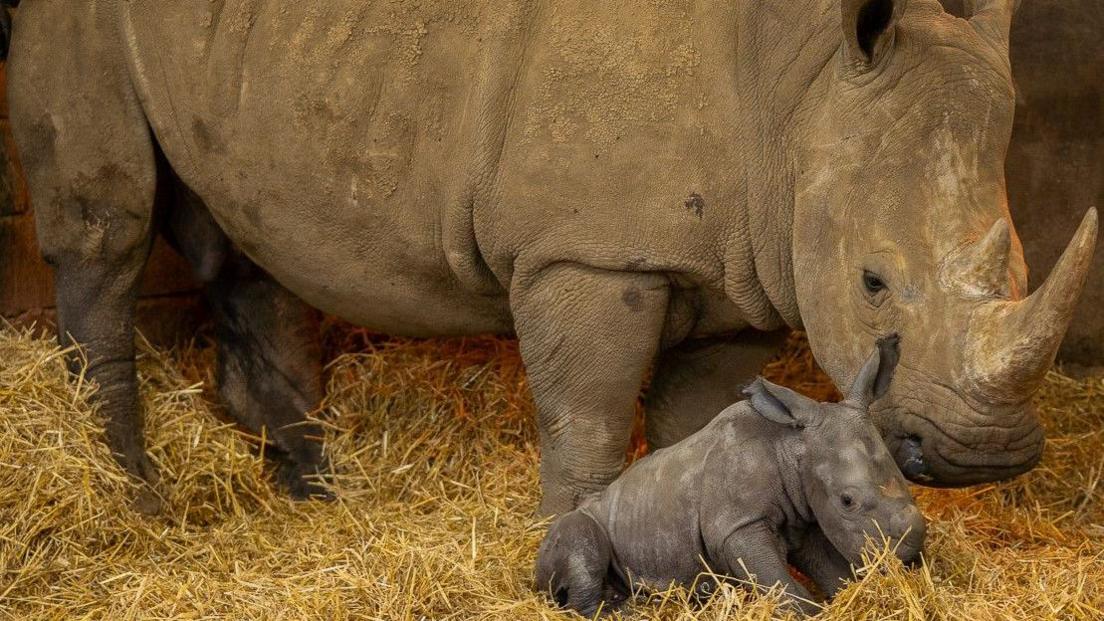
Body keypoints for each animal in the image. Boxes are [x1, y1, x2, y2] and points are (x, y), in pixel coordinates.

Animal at [4, 0, 1099, 512]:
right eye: (874, 285)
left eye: (1017, 268)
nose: (986, 457)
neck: (795, 91)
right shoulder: (587, 253)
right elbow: (591, 417)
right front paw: (577, 547)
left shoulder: (741, 265)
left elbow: (703, 418)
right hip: (79, 15)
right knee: (107, 229)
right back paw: (137, 497)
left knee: (244, 232)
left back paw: (317, 488)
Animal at [534, 338, 922, 614]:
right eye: (847, 501)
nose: (911, 552)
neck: (790, 448)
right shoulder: (736, 525)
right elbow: (779, 581)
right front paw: (812, 612)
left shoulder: (803, 516)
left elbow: (829, 569)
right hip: (575, 525)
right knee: (581, 539)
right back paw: (624, 611)